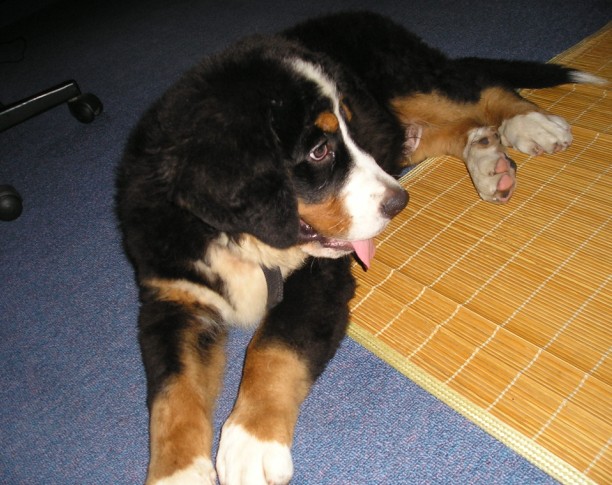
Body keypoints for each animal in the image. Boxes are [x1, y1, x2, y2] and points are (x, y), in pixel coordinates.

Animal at [116, 11, 603, 485]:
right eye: (318, 152)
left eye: (343, 135)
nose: (399, 202)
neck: (242, 240)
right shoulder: (173, 300)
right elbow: (172, 393)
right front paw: (177, 472)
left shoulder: (318, 279)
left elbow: (272, 348)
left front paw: (251, 444)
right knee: (451, 128)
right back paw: (487, 158)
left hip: (407, 80)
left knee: (477, 91)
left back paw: (530, 124)